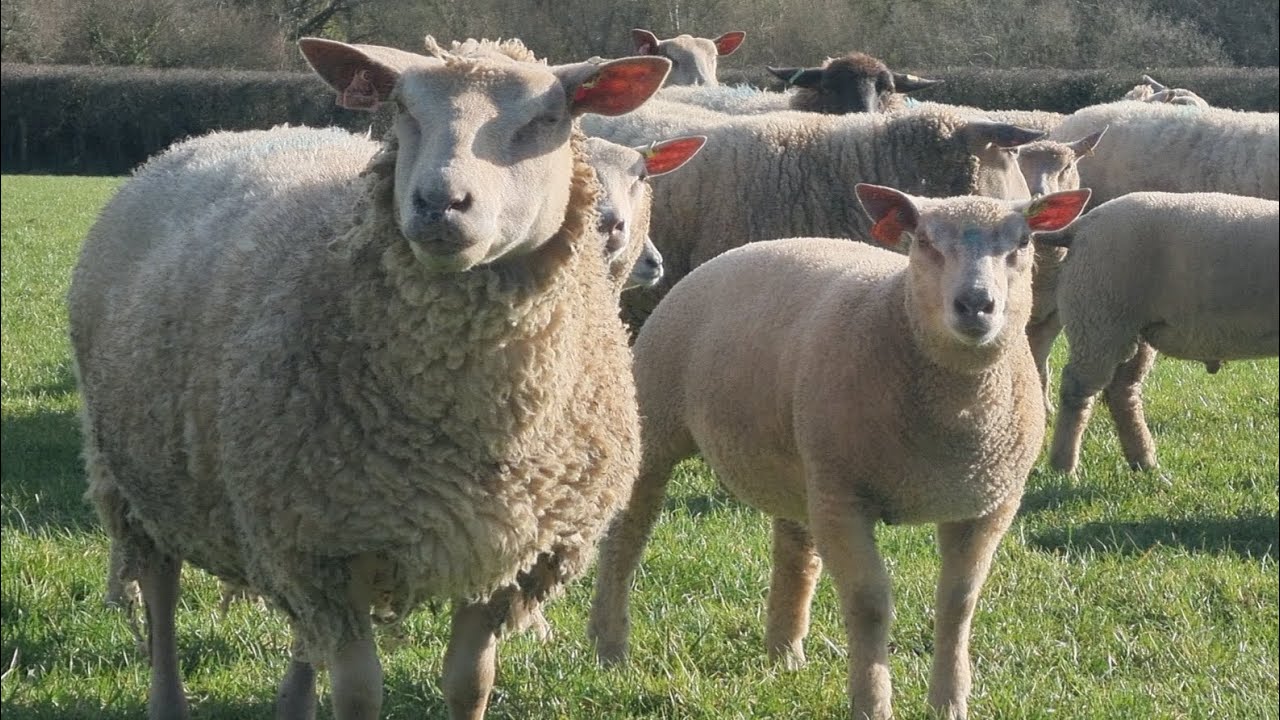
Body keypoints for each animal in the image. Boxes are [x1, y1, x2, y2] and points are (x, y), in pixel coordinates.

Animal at [69, 37, 672, 720]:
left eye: (547, 118)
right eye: (404, 109)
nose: (438, 202)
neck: (478, 425)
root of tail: (201, 141)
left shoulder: (510, 555)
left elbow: (470, 682)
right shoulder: (325, 557)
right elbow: (358, 692)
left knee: (302, 638)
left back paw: (293, 703)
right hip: (136, 476)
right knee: (161, 591)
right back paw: (168, 697)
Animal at [588, 183, 1091, 720]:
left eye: (1022, 242)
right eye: (925, 242)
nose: (975, 304)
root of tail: (749, 248)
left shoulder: (989, 503)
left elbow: (958, 603)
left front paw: (949, 702)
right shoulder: (844, 499)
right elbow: (869, 604)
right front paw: (872, 704)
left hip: (799, 464)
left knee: (794, 550)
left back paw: (784, 653)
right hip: (657, 425)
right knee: (626, 537)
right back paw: (609, 645)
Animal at [1031, 191, 1279, 473]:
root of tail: (1083, 224)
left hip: (1130, 327)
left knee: (1123, 391)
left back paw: (1144, 462)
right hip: (1098, 315)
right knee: (1078, 390)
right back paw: (1064, 467)